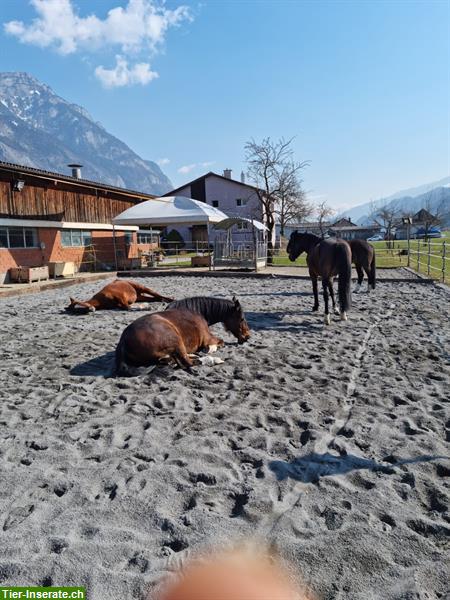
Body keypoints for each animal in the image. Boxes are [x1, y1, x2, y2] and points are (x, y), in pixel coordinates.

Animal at [115, 296, 250, 376]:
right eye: (242, 319)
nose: (247, 337)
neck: (198, 312)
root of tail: (123, 341)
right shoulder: (208, 338)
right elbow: (221, 342)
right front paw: (209, 350)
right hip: (176, 341)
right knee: (187, 362)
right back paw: (211, 359)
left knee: (174, 360)